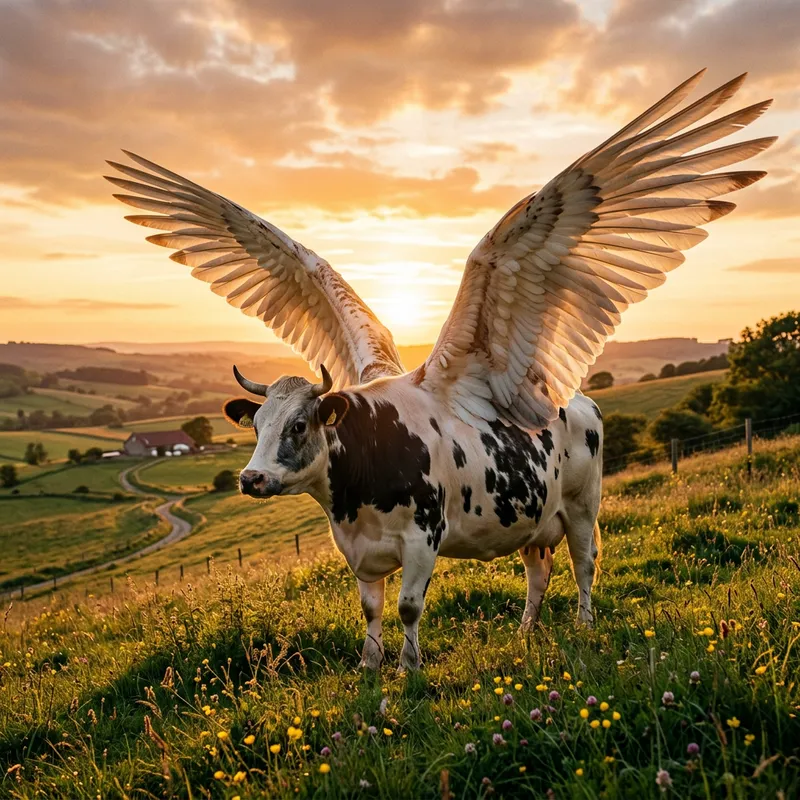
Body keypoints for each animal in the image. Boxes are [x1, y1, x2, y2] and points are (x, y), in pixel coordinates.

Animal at [108, 70, 771, 671]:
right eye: (255, 425)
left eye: (299, 425)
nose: (251, 478)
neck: (355, 485)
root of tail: (577, 399)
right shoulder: (358, 549)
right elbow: (371, 611)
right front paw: (371, 671)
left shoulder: (422, 538)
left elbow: (407, 609)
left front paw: (409, 673)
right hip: (533, 515)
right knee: (537, 570)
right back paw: (527, 633)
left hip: (584, 506)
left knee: (584, 563)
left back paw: (582, 625)